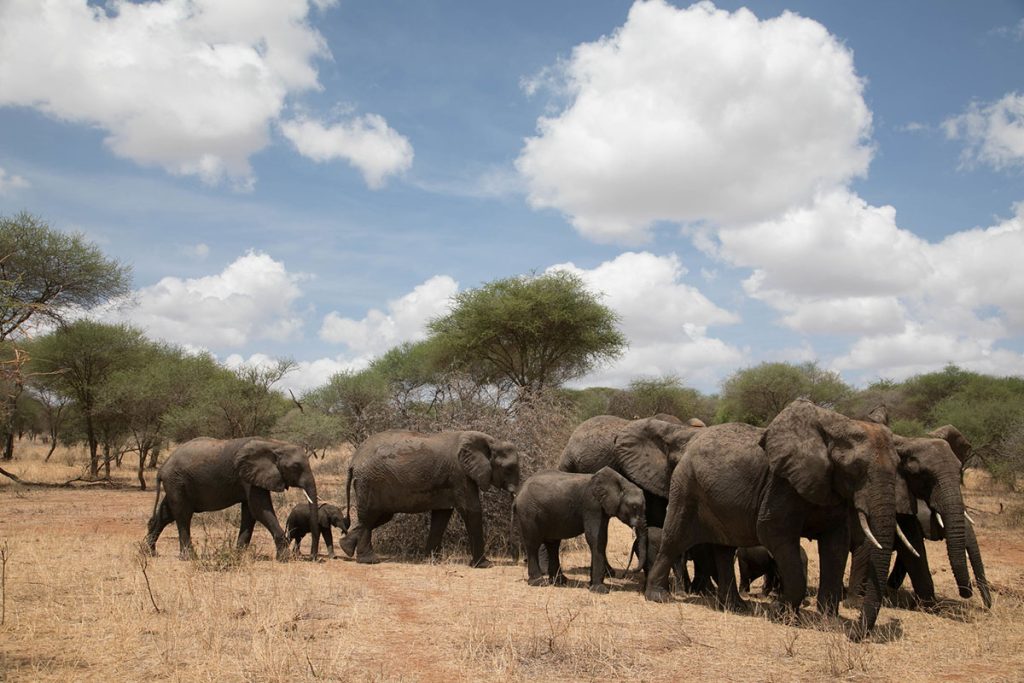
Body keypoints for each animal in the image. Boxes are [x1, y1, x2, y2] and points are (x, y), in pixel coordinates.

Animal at [144, 437, 320, 561]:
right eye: (296, 467)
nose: (312, 557)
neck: (274, 444)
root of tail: (162, 468)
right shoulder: (248, 476)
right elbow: (260, 509)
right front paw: (284, 558)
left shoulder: (252, 476)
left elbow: (250, 512)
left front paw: (238, 555)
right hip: (176, 481)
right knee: (183, 515)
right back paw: (189, 558)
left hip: (176, 483)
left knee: (166, 514)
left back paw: (149, 553)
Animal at [339, 430, 519, 567]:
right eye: (509, 468)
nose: (516, 560)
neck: (491, 441)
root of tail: (354, 460)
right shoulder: (460, 474)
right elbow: (471, 510)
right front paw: (483, 565)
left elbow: (442, 515)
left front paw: (433, 560)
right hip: (370, 481)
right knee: (370, 517)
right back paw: (369, 561)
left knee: (378, 517)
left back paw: (345, 547)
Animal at [514, 467, 647, 593]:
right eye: (634, 507)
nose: (628, 572)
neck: (621, 482)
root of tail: (519, 491)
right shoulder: (592, 505)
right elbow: (596, 539)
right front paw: (600, 590)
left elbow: (599, 538)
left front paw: (591, 585)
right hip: (528, 513)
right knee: (533, 544)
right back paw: (538, 582)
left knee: (553, 545)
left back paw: (560, 582)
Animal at [644, 399, 900, 635]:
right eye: (855, 467)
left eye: (899, 465)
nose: (855, 632)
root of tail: (690, 443)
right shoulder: (780, 485)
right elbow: (773, 533)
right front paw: (781, 612)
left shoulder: (831, 489)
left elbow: (836, 545)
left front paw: (829, 621)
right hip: (686, 486)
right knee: (674, 539)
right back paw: (659, 596)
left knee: (725, 549)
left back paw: (736, 606)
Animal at [848, 424, 991, 608]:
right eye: (924, 475)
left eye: (960, 471)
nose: (967, 593)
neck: (905, 441)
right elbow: (905, 547)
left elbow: (912, 548)